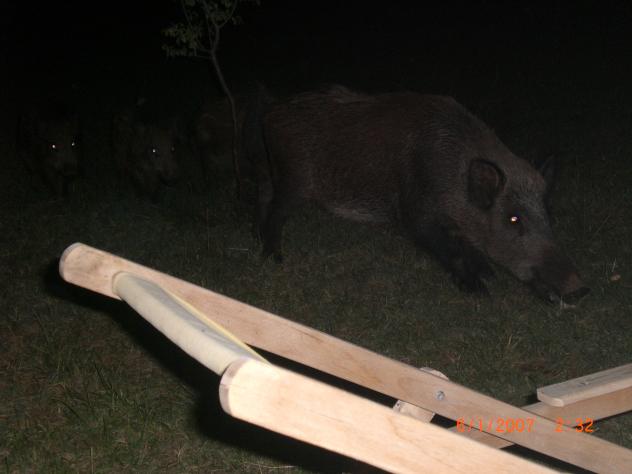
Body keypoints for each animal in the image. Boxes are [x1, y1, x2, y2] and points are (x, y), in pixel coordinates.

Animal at [253, 85, 589, 304]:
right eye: (514, 219)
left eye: (549, 214)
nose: (579, 289)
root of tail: (270, 111)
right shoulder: (415, 215)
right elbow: (447, 249)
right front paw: (478, 290)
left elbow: (466, 245)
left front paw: (488, 273)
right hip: (293, 178)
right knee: (275, 209)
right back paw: (274, 258)